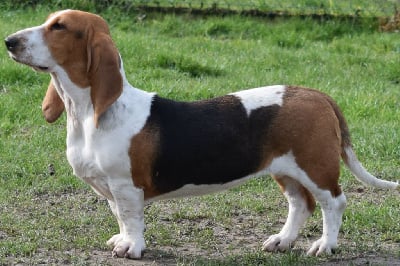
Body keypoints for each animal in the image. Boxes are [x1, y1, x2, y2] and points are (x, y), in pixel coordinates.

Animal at [4, 9, 398, 258]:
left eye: (58, 27)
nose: (9, 41)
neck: (87, 113)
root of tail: (318, 95)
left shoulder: (125, 186)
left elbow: (131, 218)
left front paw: (131, 248)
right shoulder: (113, 190)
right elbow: (120, 217)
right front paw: (121, 239)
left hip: (315, 166)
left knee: (334, 203)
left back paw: (325, 246)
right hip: (285, 170)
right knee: (301, 204)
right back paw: (282, 241)